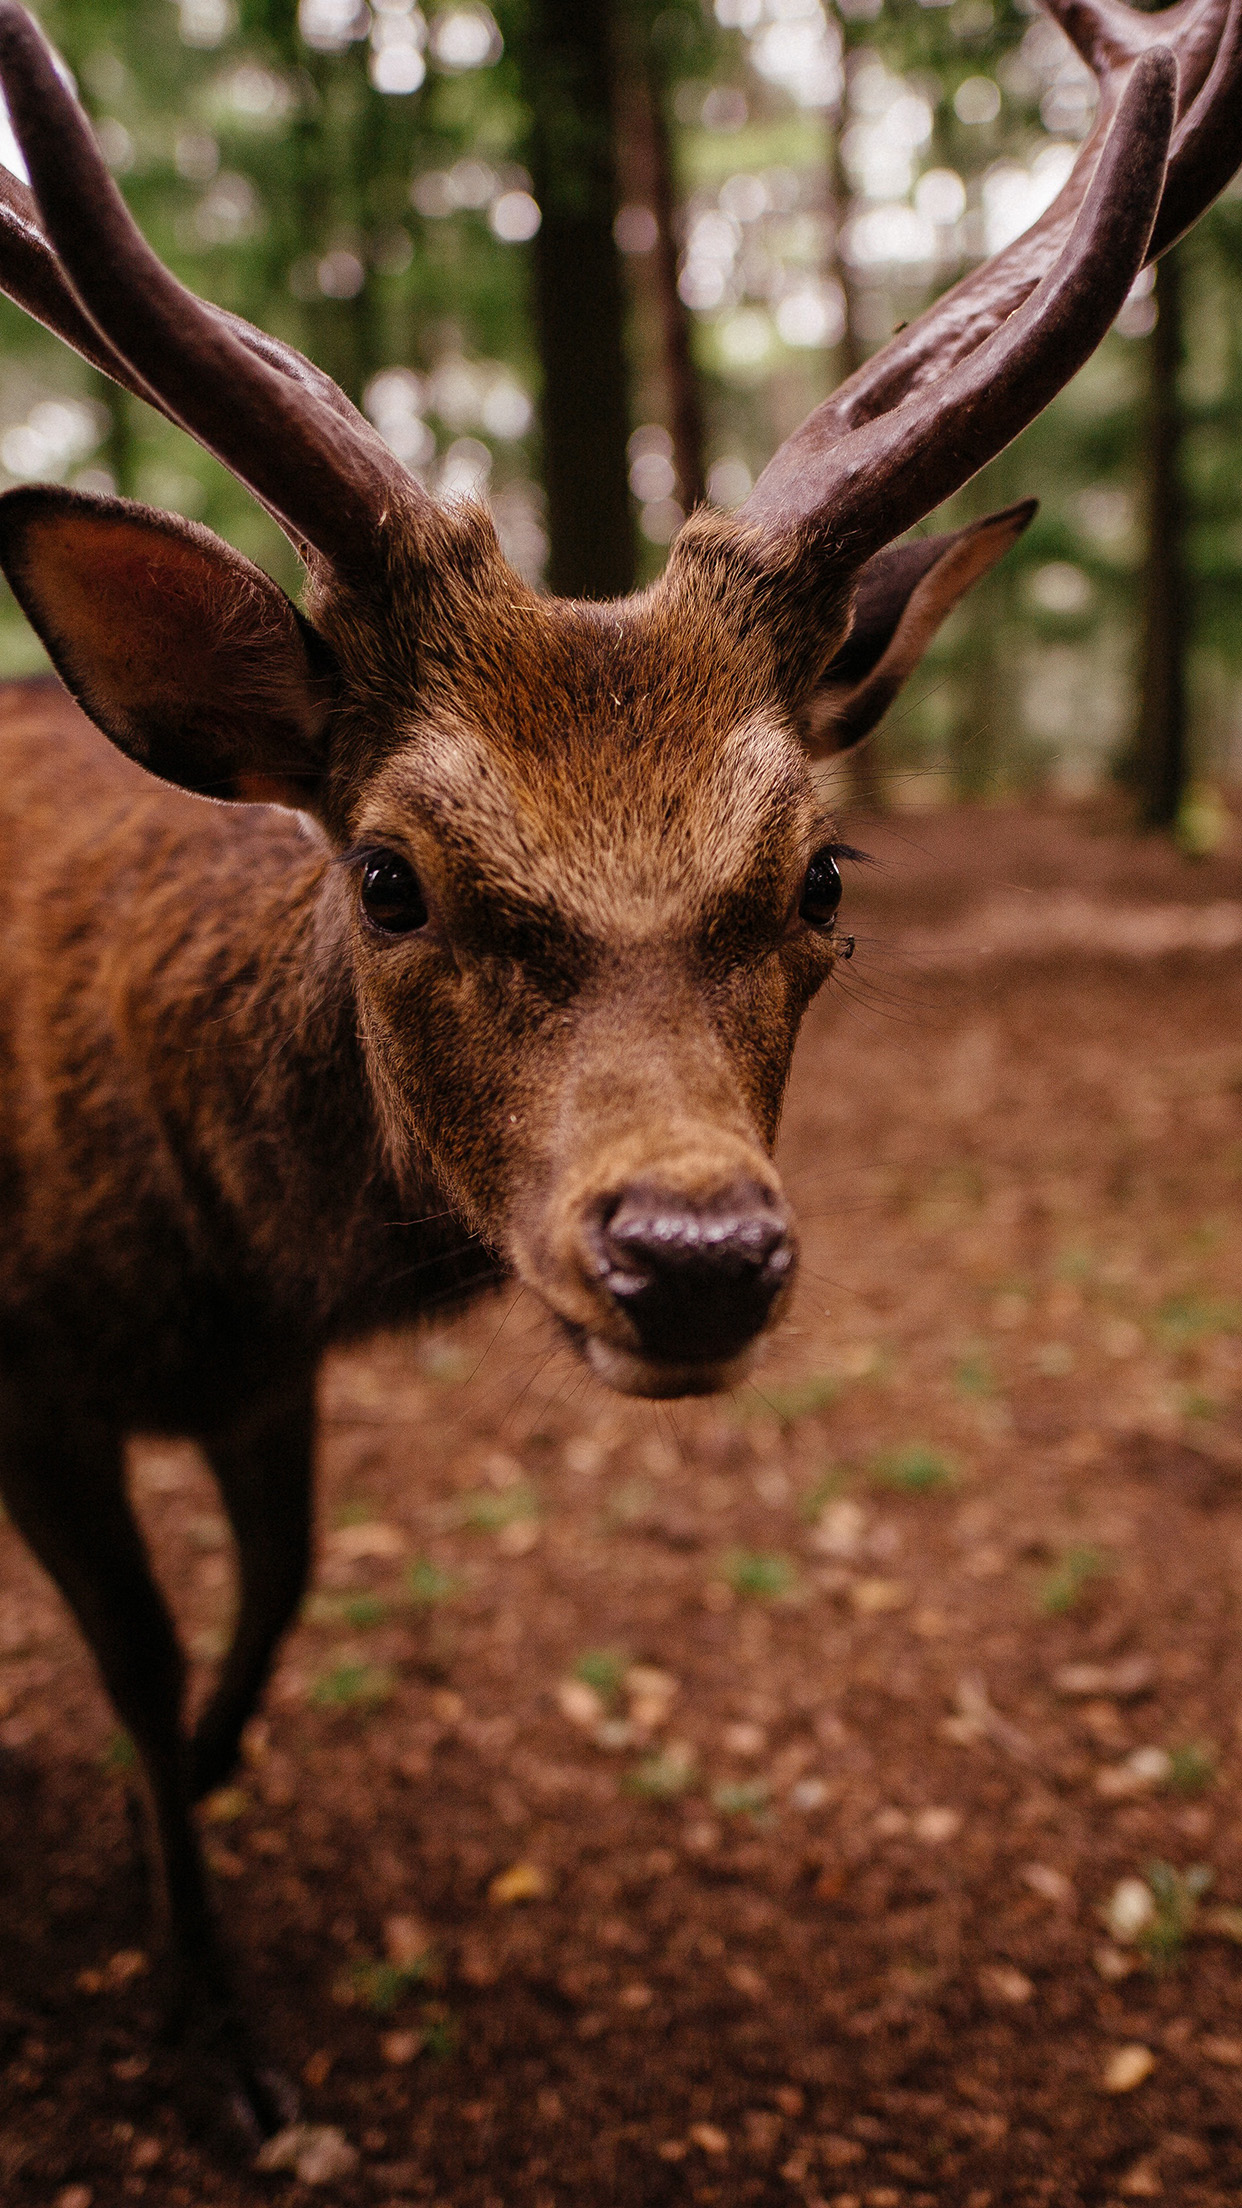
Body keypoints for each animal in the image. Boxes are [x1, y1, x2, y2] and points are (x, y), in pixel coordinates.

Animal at [0, 0, 1236, 2149]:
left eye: (820, 870)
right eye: (387, 873)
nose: (692, 1250)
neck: (205, 1270)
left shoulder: (263, 1384)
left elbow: (276, 1597)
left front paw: (206, 1805)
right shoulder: (26, 1372)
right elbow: (144, 1666)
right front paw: (214, 2031)